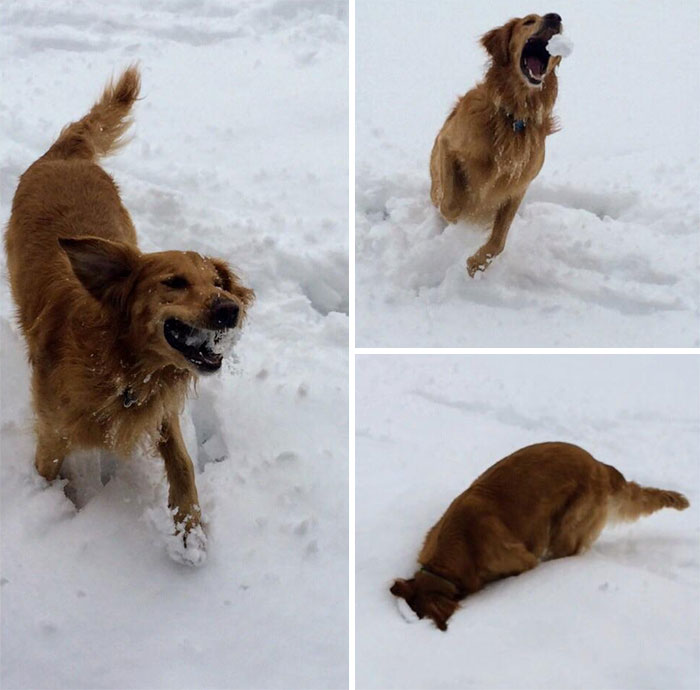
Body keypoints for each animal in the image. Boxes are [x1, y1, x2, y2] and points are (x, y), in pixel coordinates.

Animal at [4, 64, 256, 560]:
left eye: (218, 283)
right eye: (174, 282)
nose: (231, 310)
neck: (122, 368)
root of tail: (62, 155)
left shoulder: (161, 411)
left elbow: (182, 463)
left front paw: (189, 529)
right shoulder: (52, 431)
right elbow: (47, 470)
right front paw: (54, 508)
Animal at [430, 12, 568, 276]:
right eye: (528, 21)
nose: (554, 17)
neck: (514, 117)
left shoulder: (517, 187)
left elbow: (498, 240)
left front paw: (477, 264)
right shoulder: (447, 144)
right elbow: (451, 204)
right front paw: (460, 216)